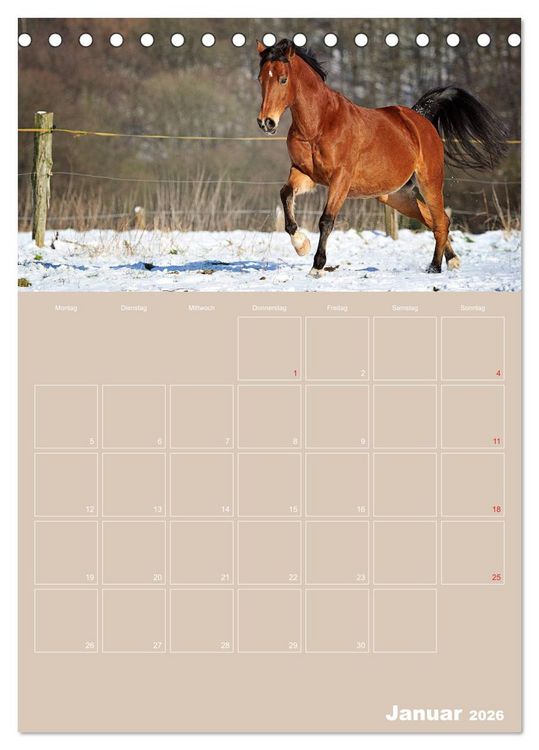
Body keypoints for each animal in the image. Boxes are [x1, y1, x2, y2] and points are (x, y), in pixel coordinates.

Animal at [256, 38, 508, 277]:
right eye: (260, 79)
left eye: (283, 79)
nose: (266, 122)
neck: (319, 125)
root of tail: (418, 118)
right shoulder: (304, 173)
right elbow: (285, 195)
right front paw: (302, 245)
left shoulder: (340, 179)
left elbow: (326, 220)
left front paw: (316, 267)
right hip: (396, 195)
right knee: (434, 219)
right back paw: (452, 261)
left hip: (429, 182)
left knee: (439, 221)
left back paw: (435, 267)